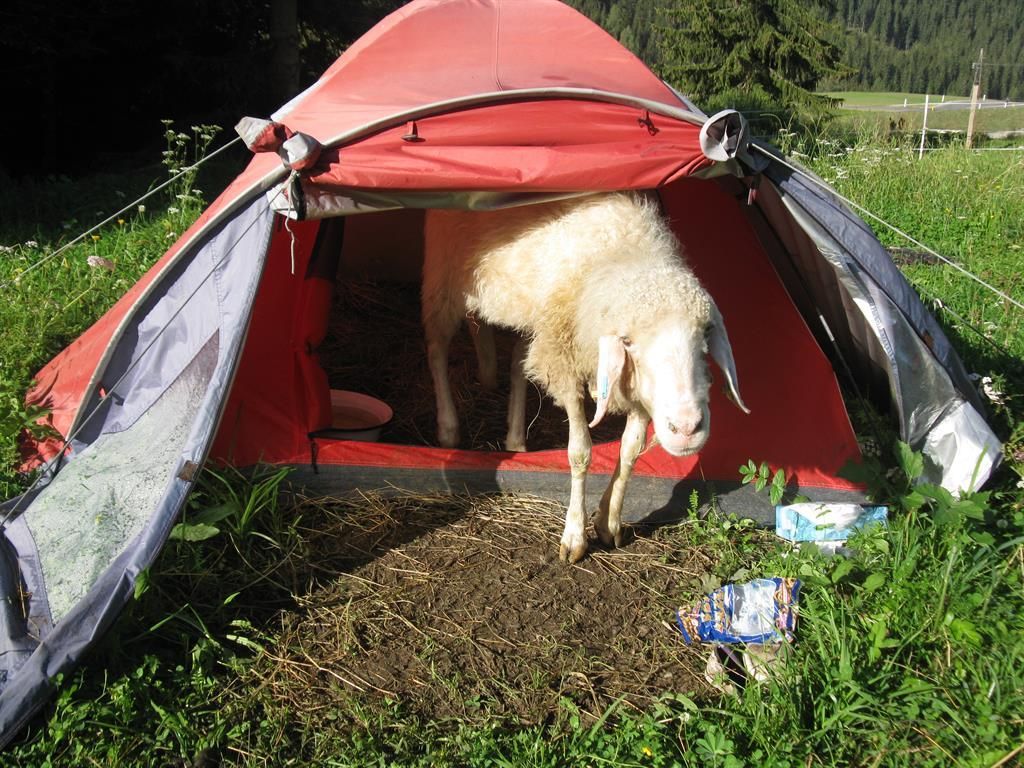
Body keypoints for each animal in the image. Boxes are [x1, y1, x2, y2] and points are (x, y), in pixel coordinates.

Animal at [421, 191, 749, 563]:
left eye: (705, 334)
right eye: (627, 341)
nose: (687, 429)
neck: (624, 252)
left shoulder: (636, 389)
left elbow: (630, 450)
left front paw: (609, 520)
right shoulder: (565, 360)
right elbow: (580, 453)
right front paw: (575, 536)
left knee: (507, 353)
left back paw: (511, 426)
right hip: (444, 278)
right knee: (437, 348)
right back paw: (448, 427)